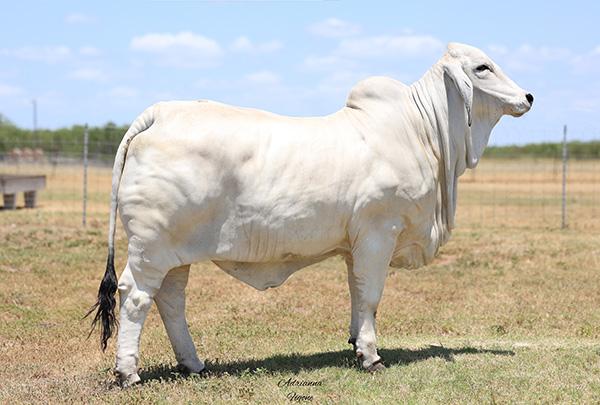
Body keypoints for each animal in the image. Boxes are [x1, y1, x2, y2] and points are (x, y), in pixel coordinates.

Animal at [86, 41, 532, 386]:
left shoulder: (355, 244)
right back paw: (128, 373)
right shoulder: (379, 232)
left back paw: (194, 364)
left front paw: (355, 343)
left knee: (171, 301)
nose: (528, 97)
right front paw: (371, 356)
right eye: (483, 67)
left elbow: (357, 293)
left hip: (176, 253)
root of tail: (158, 115)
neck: (421, 132)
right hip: (152, 248)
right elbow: (371, 295)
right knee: (136, 297)